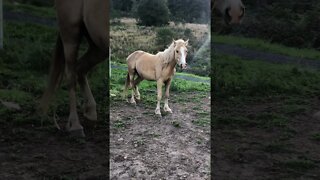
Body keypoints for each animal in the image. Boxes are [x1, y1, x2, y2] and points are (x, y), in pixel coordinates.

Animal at [38, 0, 109, 137]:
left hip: (98, 44)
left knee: (80, 68)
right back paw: (75, 126)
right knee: (71, 75)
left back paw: (90, 114)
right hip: (70, 31)